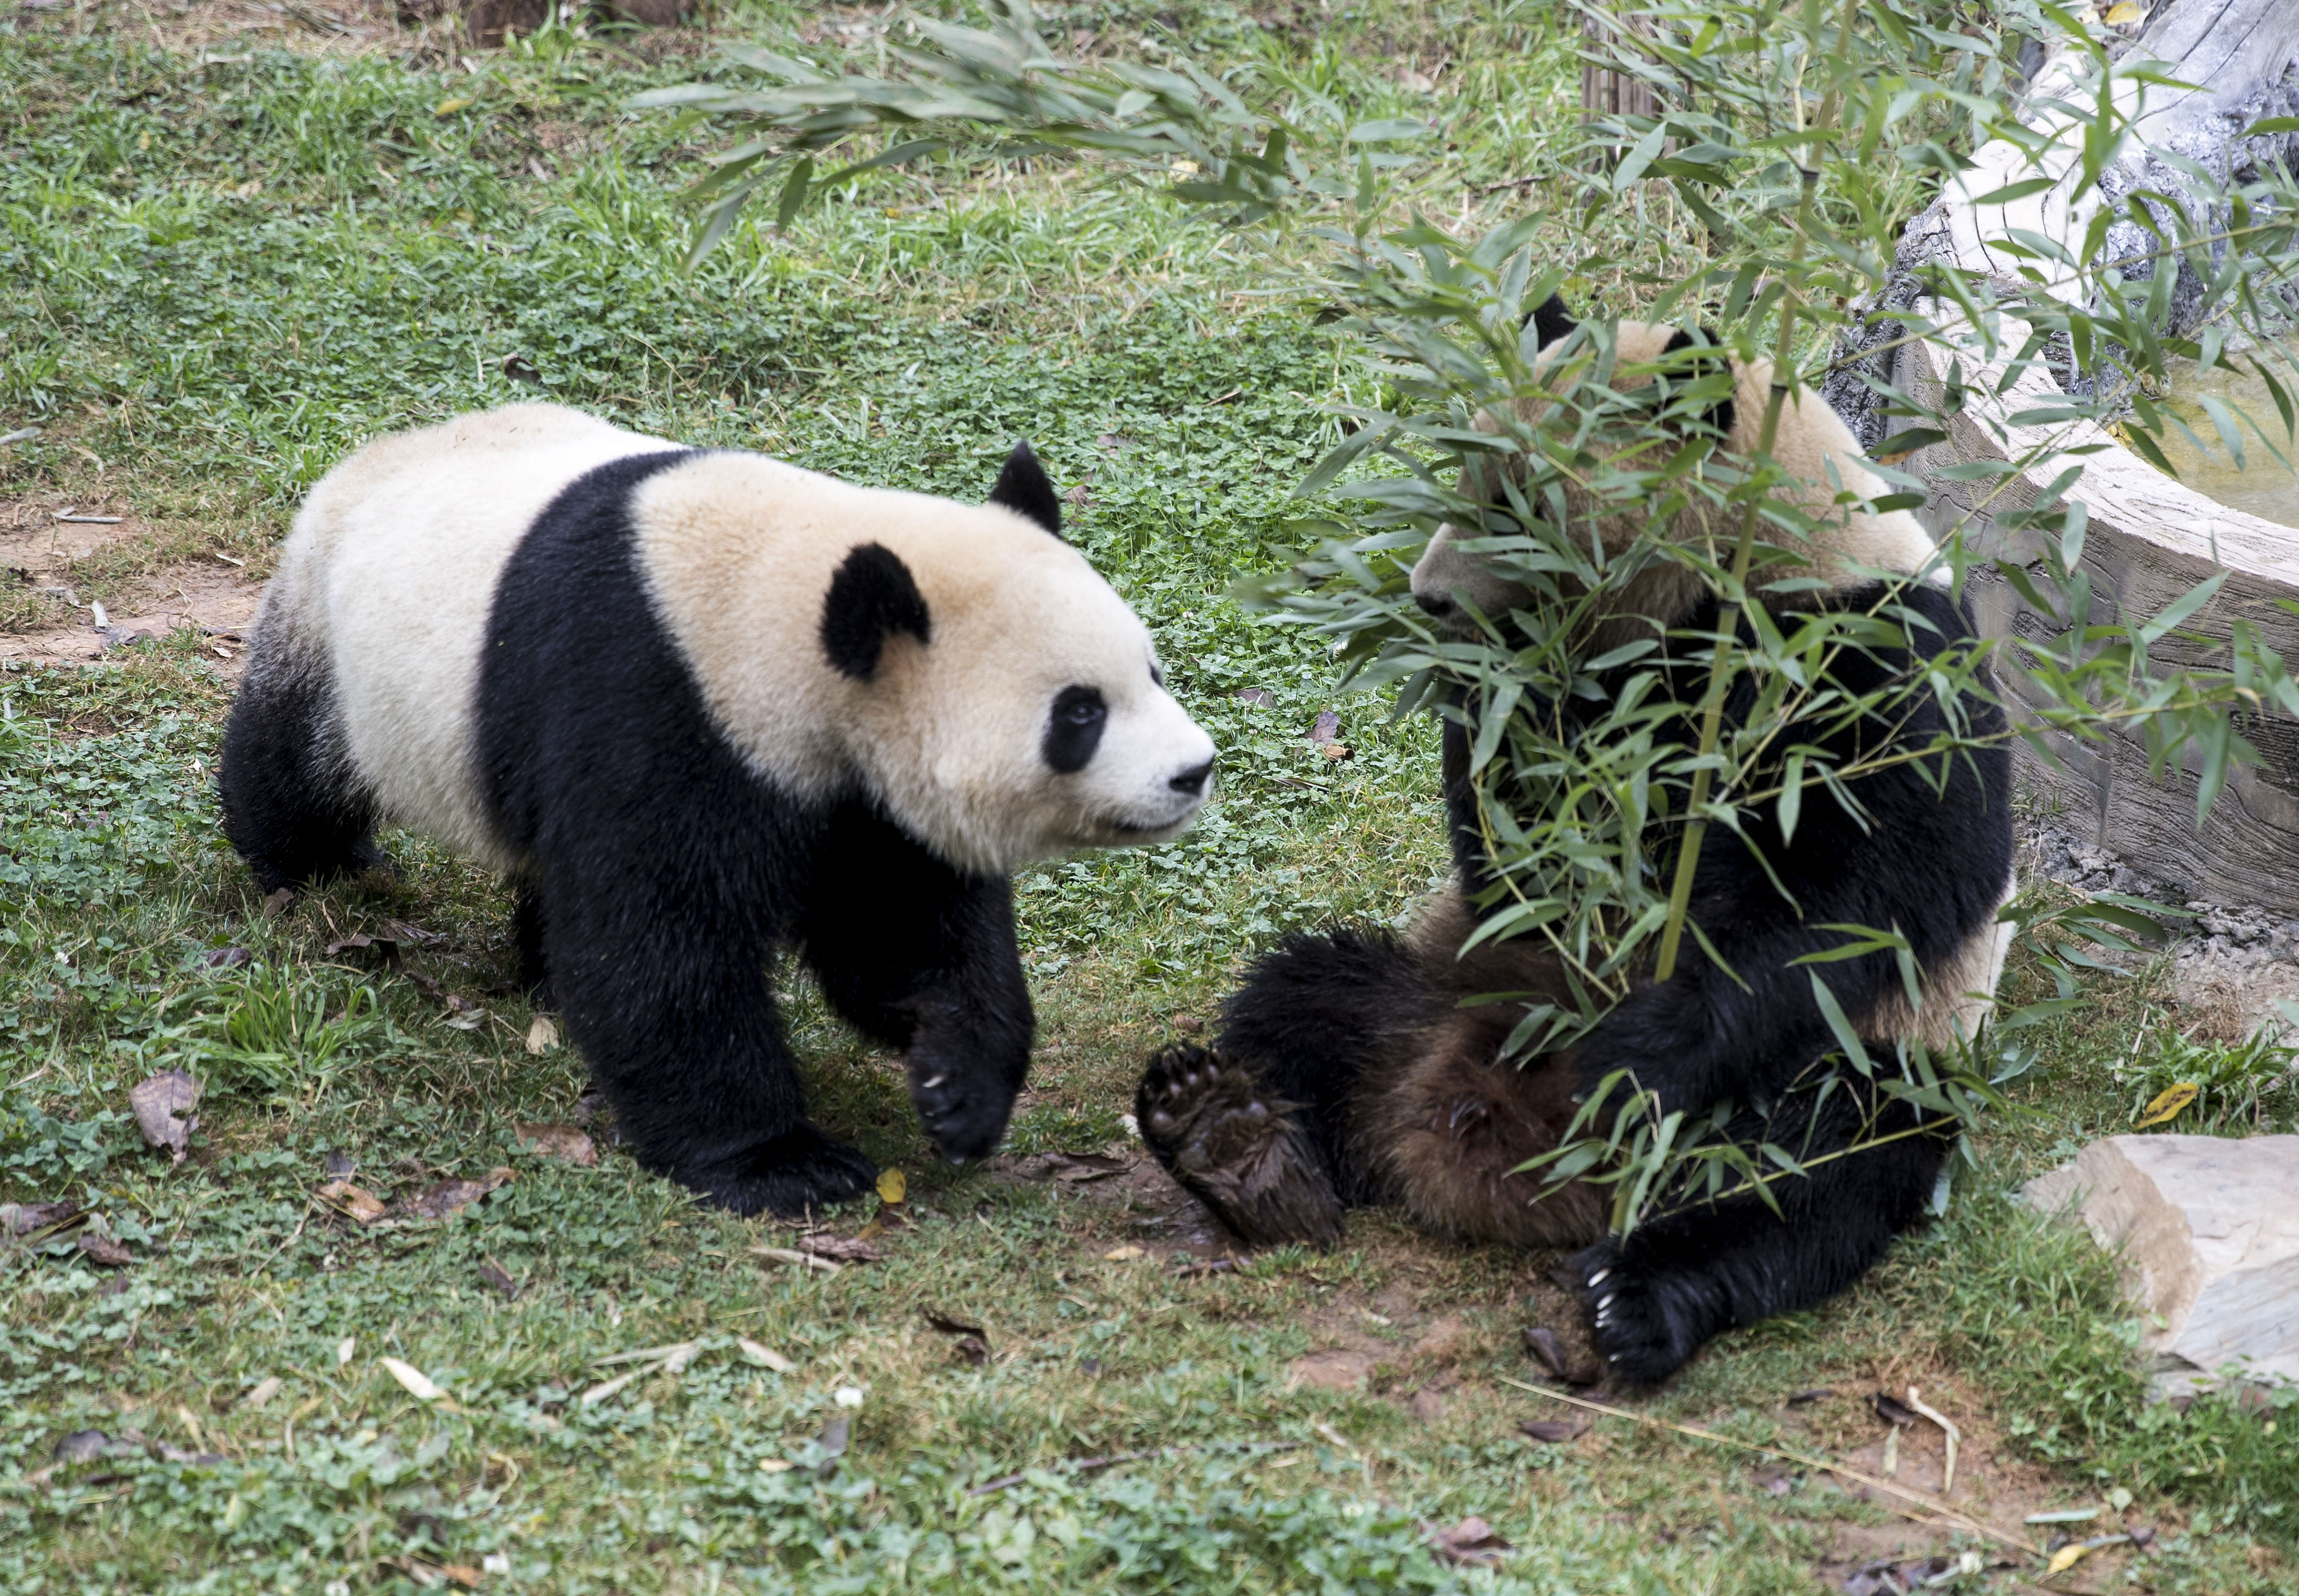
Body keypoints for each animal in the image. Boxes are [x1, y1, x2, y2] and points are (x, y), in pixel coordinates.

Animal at [222, 407, 1213, 1223]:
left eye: (1151, 671)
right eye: (1078, 714)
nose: (1193, 770)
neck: (782, 601)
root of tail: (380, 451)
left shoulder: (858, 789)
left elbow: (900, 930)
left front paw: (956, 1086)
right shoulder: (660, 701)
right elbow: (662, 945)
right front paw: (781, 1164)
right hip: (339, 643)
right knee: (293, 766)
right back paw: (315, 869)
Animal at [1140, 299, 2023, 1389]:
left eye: (1517, 502)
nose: (1429, 598)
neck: (1748, 562)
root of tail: (1502, 1163)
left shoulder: (1876, 661)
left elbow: (1874, 892)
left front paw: (1641, 1051)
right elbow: (1523, 851)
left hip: (1869, 1055)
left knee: (1820, 1165)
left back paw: (1638, 1291)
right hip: (1446, 983)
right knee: (1305, 996)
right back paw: (1239, 1147)